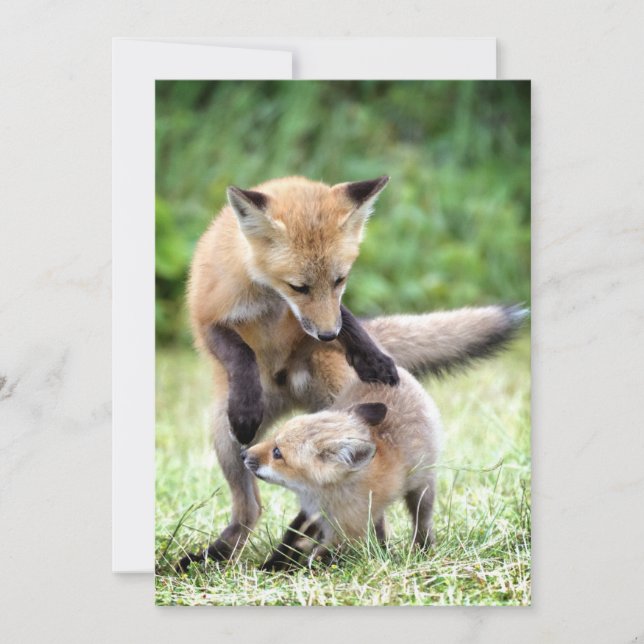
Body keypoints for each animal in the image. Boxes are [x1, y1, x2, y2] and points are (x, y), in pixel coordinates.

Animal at [241, 367, 441, 570]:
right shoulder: (312, 514)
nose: (243, 454)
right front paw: (273, 565)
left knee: (421, 519)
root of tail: (401, 373)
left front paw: (297, 569)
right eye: (272, 438)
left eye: (277, 453)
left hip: (423, 488)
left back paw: (422, 547)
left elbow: (319, 558)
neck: (324, 495)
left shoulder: (348, 531)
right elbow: (291, 537)